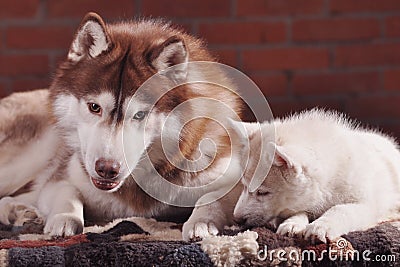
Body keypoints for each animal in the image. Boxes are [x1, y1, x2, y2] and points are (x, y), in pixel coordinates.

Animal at [231, 110, 400, 244]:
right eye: (244, 186)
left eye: (263, 192)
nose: (236, 219)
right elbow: (300, 210)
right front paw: (293, 223)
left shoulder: (366, 204)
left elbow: (340, 209)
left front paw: (322, 226)